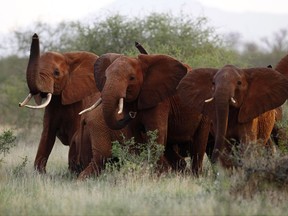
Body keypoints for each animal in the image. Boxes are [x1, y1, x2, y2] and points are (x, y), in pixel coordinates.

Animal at [18, 33, 99, 173]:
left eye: (56, 73)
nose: (35, 35)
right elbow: (47, 134)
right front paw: (40, 173)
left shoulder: (79, 102)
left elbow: (74, 134)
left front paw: (72, 172)